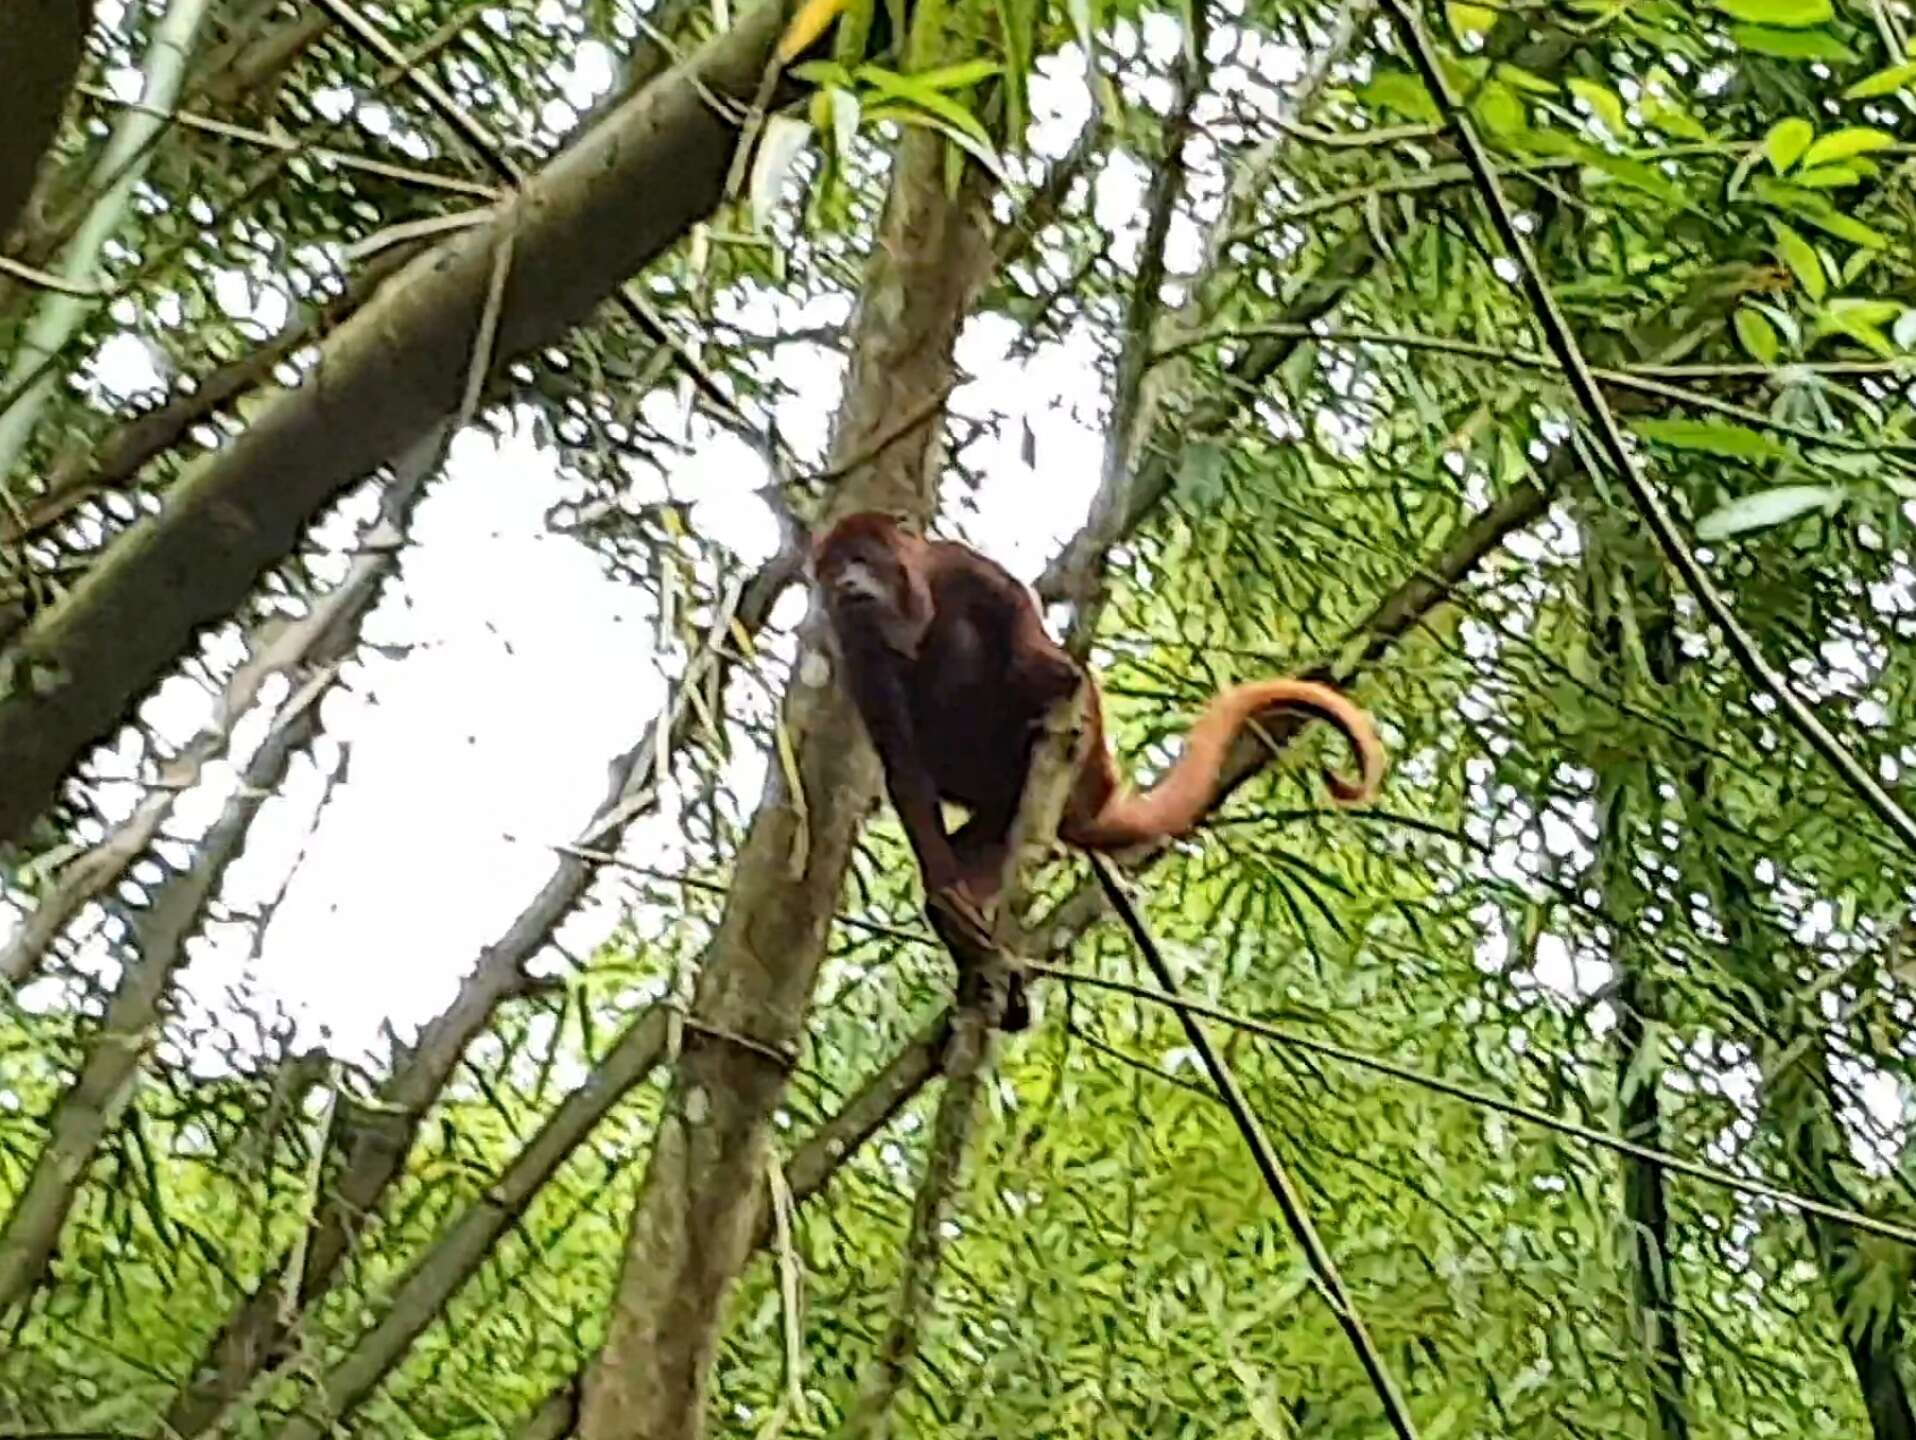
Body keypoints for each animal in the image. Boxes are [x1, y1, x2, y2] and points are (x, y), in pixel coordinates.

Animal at [816, 517, 1387, 915]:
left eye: (861, 559)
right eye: (831, 570)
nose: (845, 583)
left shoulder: (964, 568)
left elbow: (1027, 628)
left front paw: (1049, 675)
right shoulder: (857, 649)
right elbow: (904, 768)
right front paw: (946, 890)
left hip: (1086, 769)